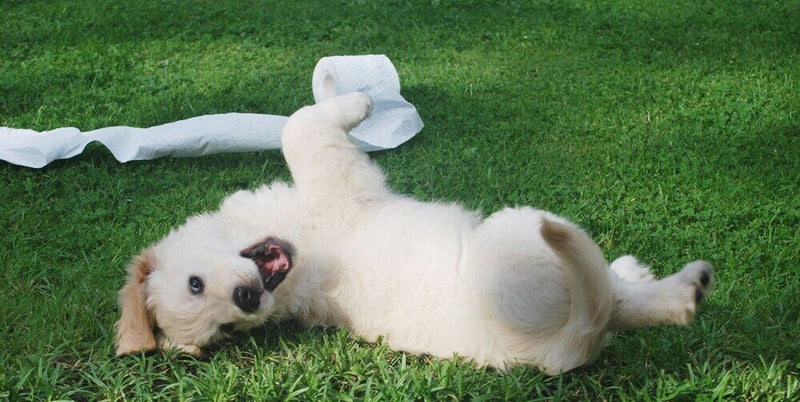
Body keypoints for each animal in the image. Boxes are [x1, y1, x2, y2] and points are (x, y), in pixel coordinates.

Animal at [115, 92, 716, 376]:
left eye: (195, 285)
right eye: (226, 329)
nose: (246, 302)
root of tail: (563, 347)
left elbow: (299, 122)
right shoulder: (334, 177)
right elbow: (299, 126)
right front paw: (360, 102)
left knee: (617, 295)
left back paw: (637, 271)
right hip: (522, 239)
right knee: (616, 300)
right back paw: (683, 290)